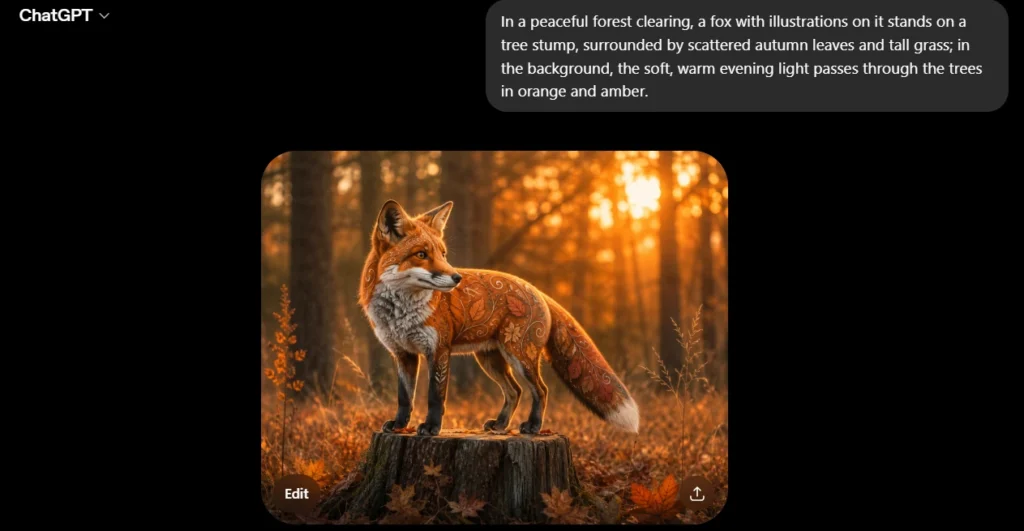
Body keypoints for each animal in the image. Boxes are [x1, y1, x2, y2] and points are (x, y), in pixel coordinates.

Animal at [359, 199, 640, 437]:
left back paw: (533, 426)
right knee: (514, 391)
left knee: (540, 390)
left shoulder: (438, 350)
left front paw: (431, 427)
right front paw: (399, 425)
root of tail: (537, 290)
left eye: (443, 254)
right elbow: (404, 398)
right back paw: (501, 425)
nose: (456, 278)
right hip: (490, 359)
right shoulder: (403, 353)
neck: (399, 313)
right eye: (421, 254)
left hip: (520, 356)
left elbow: (435, 396)